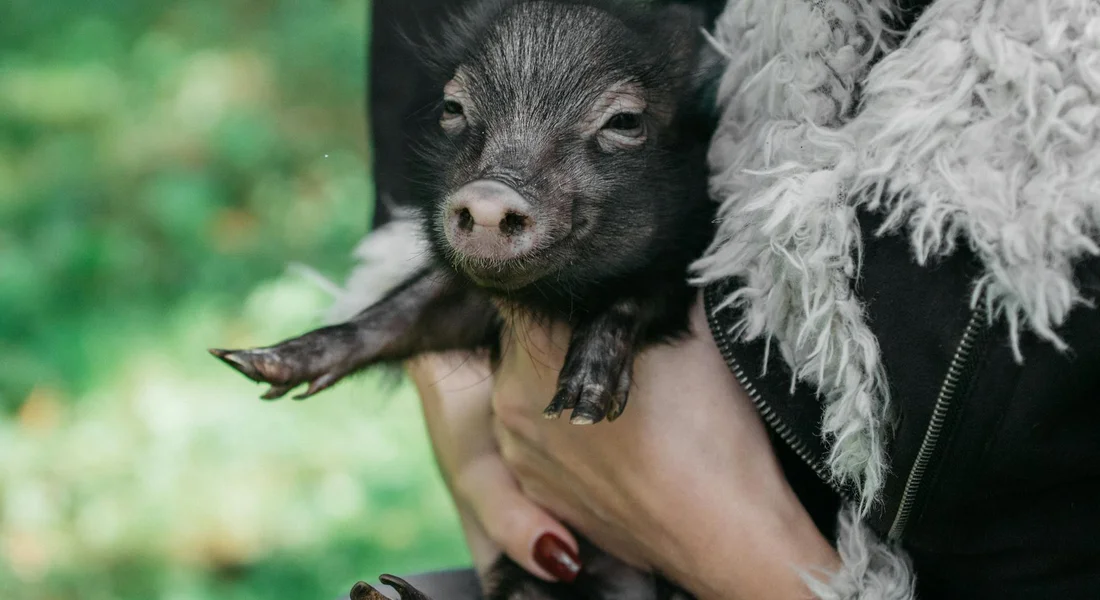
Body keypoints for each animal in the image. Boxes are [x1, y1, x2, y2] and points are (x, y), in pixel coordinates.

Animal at [210, 0, 720, 596]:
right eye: (454, 107)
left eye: (625, 122)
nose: (489, 194)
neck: (554, 298)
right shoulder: (469, 305)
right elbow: (398, 314)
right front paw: (248, 360)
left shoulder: (688, 264)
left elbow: (634, 296)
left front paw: (580, 404)